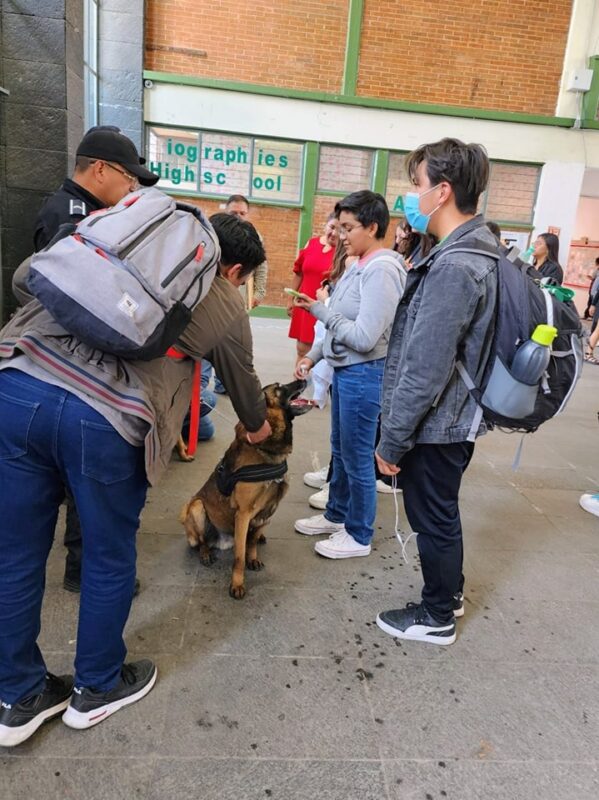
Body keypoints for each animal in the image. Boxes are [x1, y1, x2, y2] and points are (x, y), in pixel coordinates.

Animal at [179, 378, 312, 596]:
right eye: (279, 387)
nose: (303, 378)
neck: (266, 452)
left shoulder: (268, 511)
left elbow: (251, 543)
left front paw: (253, 558)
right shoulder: (243, 514)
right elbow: (239, 556)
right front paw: (237, 584)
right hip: (195, 508)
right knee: (202, 541)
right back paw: (206, 553)